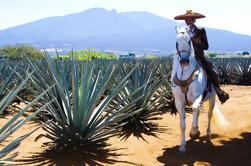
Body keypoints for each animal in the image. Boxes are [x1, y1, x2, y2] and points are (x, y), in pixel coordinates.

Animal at [172, 26, 228, 154]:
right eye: (176, 43)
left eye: (189, 41)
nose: (184, 61)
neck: (184, 74)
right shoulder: (179, 102)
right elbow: (182, 124)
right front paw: (182, 146)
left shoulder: (197, 96)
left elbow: (195, 109)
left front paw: (194, 131)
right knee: (197, 112)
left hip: (212, 98)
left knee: (209, 114)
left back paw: (207, 134)